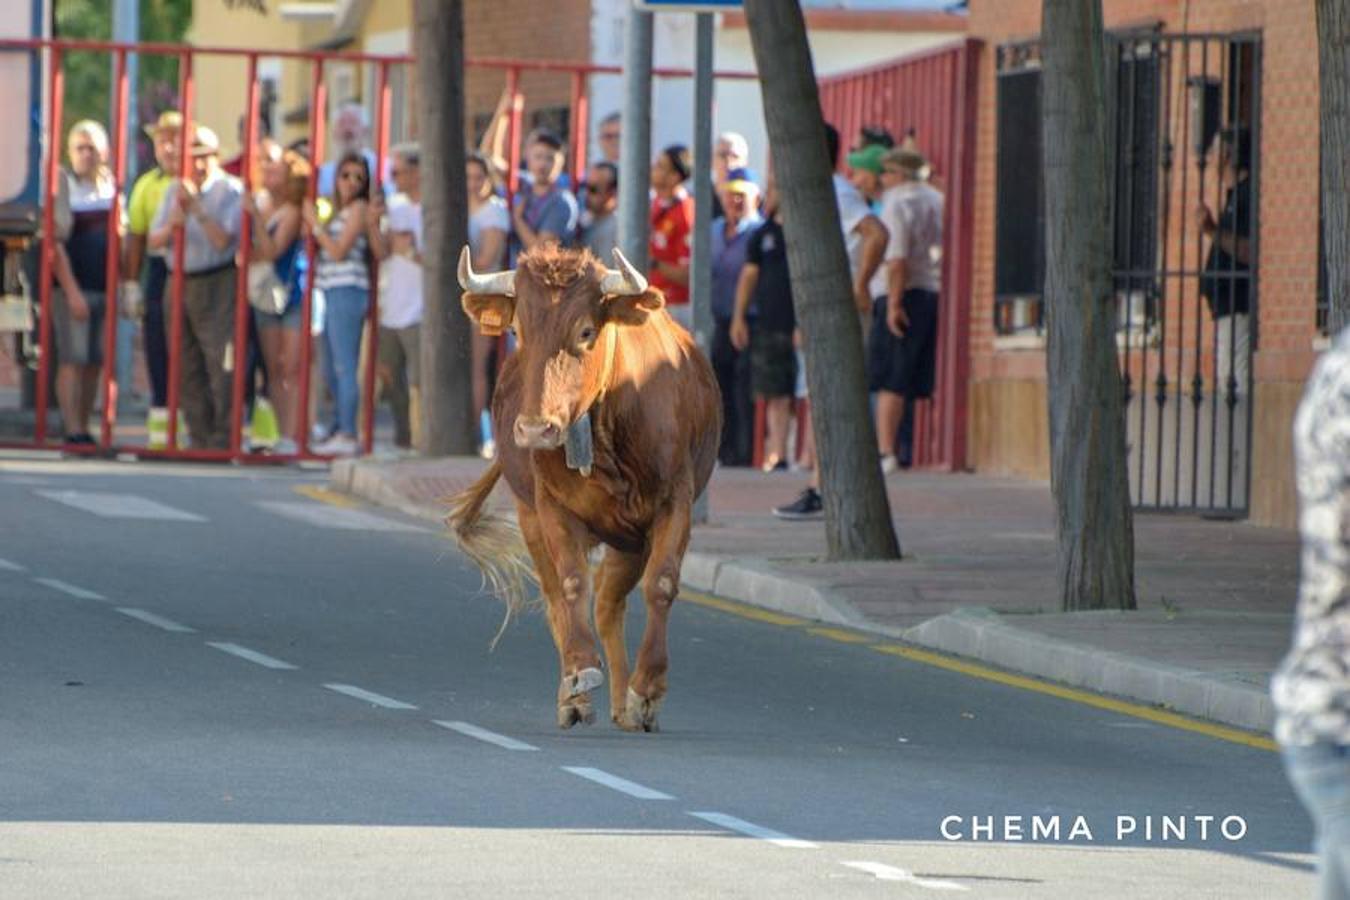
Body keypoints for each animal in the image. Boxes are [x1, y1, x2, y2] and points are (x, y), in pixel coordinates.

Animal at [448, 241, 723, 734]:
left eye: (586, 331)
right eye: (517, 330)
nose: (535, 429)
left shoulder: (674, 502)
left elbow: (661, 584)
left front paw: (646, 691)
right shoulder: (552, 507)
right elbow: (572, 584)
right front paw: (580, 672)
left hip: (628, 540)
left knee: (609, 604)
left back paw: (623, 703)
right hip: (532, 519)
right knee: (560, 599)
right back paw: (574, 696)